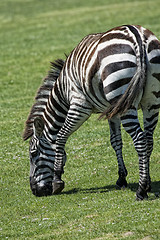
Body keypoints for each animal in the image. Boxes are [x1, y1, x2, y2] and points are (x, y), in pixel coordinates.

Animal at [23, 24, 160, 201]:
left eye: (33, 154)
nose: (35, 191)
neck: (63, 91)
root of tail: (137, 36)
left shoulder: (79, 105)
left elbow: (61, 136)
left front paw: (57, 179)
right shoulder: (113, 110)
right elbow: (116, 141)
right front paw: (121, 179)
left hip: (123, 96)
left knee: (141, 140)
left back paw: (141, 190)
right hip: (151, 101)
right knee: (149, 140)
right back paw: (147, 184)